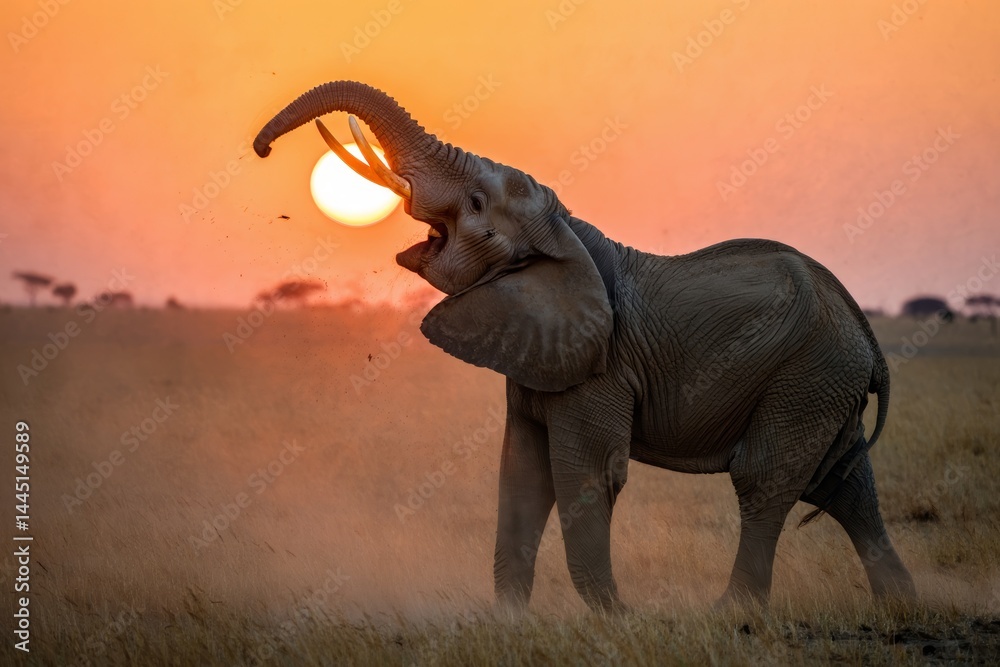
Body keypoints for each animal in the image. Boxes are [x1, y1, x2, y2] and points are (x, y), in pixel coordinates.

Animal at [254, 81, 916, 612]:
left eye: (476, 203)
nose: (261, 149)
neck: (564, 229)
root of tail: (867, 337)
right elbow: (521, 473)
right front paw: (509, 621)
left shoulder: (603, 368)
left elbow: (587, 474)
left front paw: (615, 619)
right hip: (822, 379)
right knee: (842, 483)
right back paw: (900, 608)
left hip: (806, 372)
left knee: (768, 478)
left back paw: (730, 614)